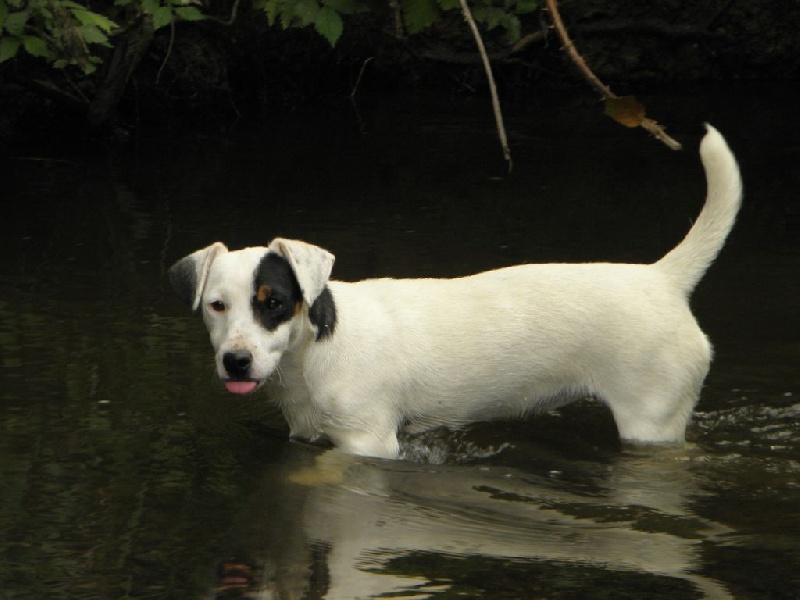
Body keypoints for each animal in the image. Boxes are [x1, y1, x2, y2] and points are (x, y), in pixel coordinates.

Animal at [170, 124, 744, 458]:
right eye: (217, 306)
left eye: (274, 303)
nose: (236, 362)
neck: (315, 350)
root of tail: (662, 277)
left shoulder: (368, 442)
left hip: (652, 420)